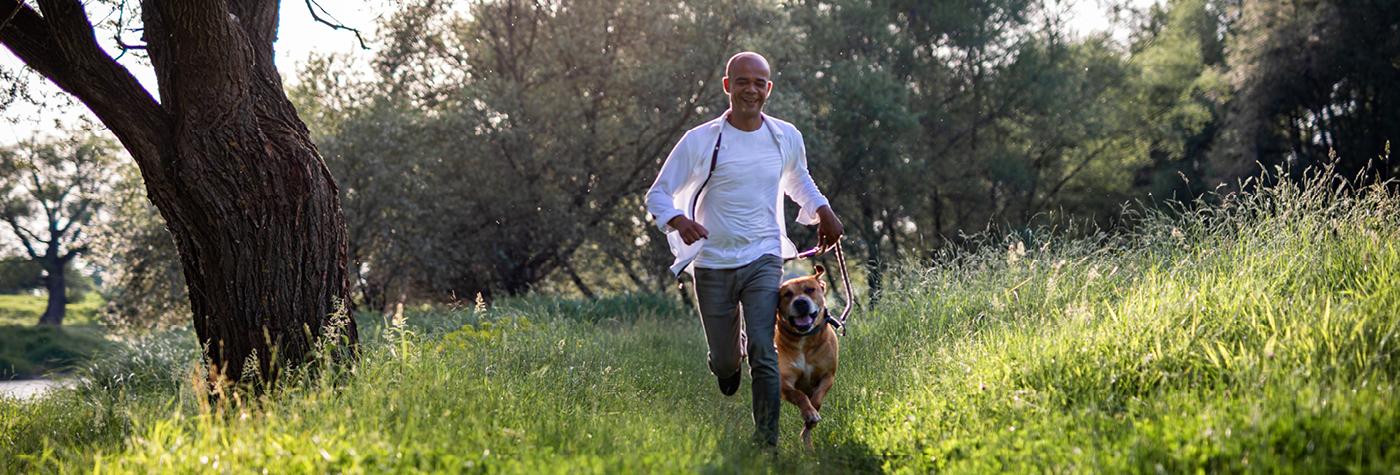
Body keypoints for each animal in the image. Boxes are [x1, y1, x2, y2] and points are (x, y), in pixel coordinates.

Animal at [772, 264, 834, 451]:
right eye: (787, 294)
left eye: (810, 289)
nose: (800, 302)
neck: (804, 340)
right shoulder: (784, 382)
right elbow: (799, 395)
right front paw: (809, 413)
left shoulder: (828, 376)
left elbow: (817, 398)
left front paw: (811, 415)